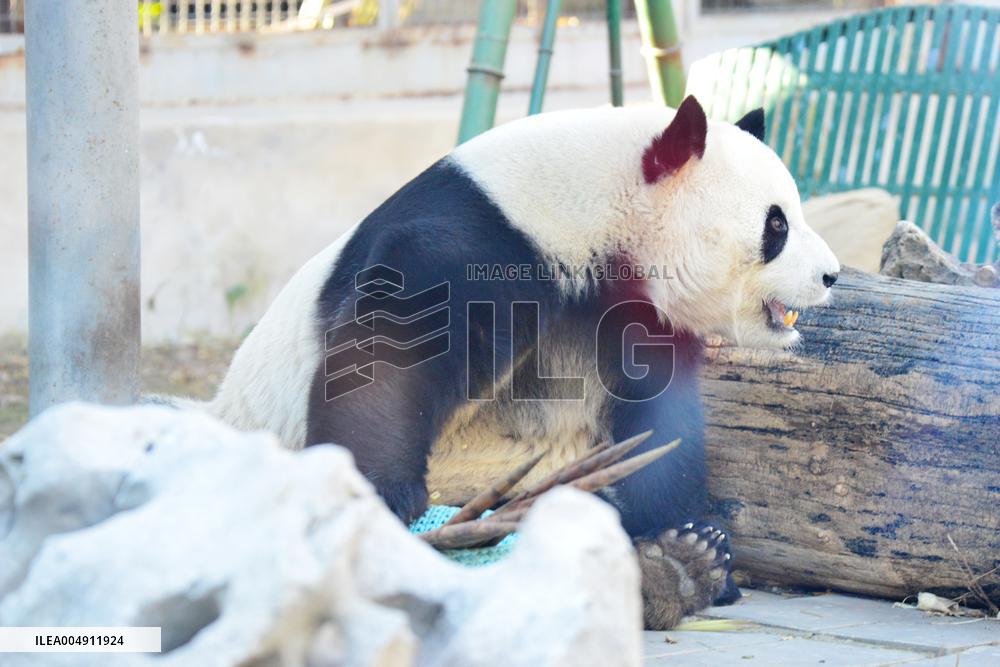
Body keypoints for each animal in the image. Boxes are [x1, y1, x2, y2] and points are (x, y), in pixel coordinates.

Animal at [201, 95, 840, 629]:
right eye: (777, 224)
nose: (831, 275)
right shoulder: (481, 244)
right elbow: (388, 356)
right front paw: (383, 495)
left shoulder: (635, 314)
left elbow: (660, 428)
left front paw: (694, 539)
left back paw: (679, 568)